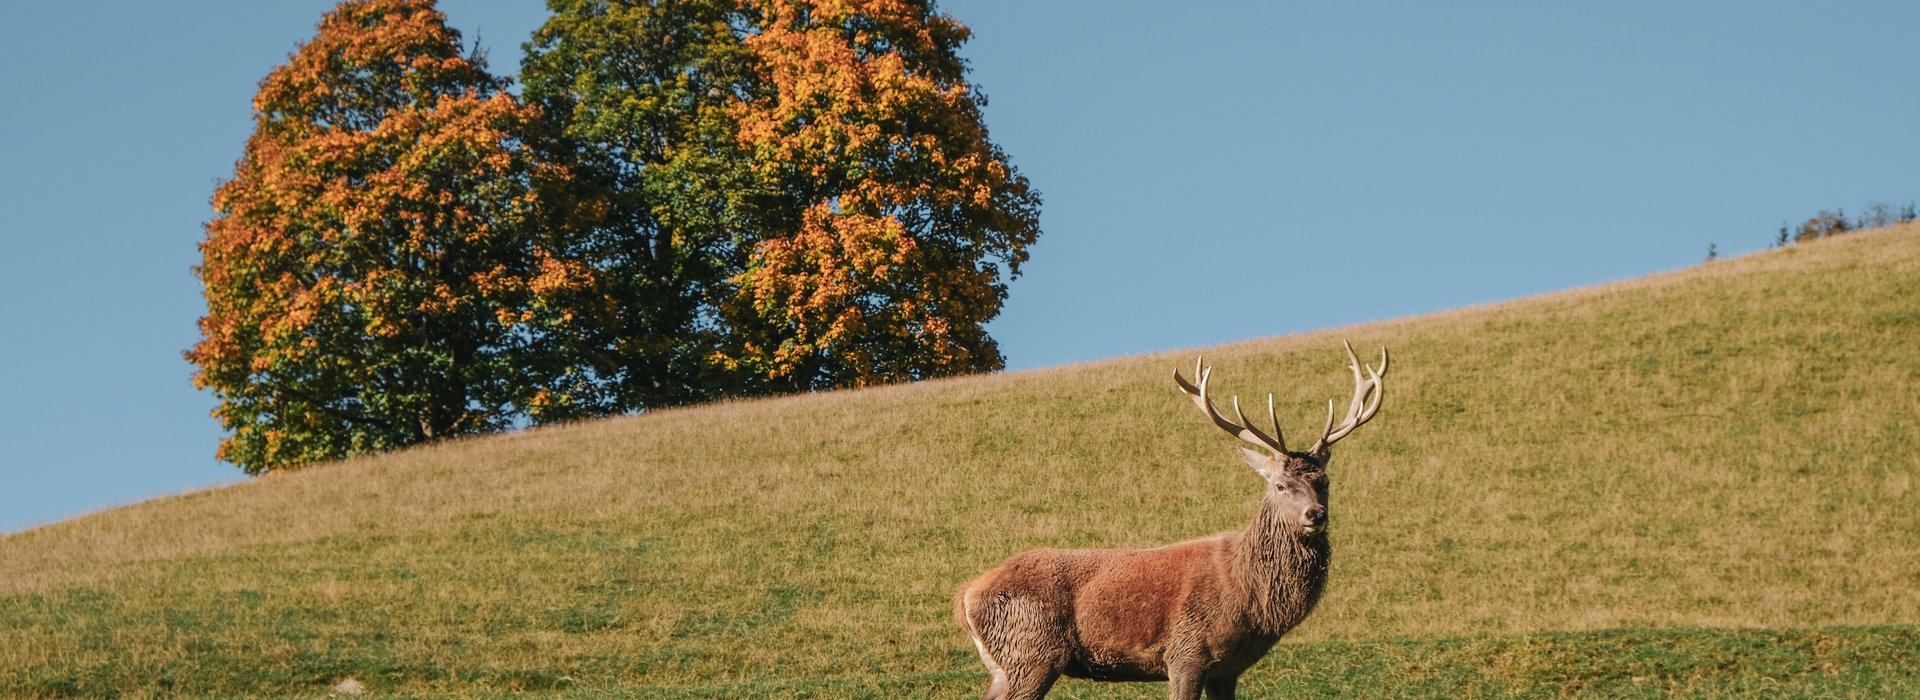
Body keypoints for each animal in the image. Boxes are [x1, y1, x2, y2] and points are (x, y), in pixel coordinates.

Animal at [956, 343, 1382, 698]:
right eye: (1279, 484)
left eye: (1324, 481)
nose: (1316, 514)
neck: (1249, 597)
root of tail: (967, 594)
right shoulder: (1187, 651)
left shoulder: (1227, 670)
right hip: (1031, 654)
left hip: (1007, 665)